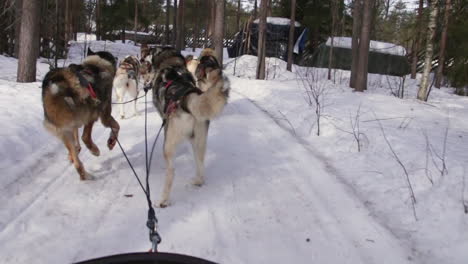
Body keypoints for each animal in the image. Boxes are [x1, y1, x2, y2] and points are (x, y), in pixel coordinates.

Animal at [41, 48, 119, 179]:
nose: (117, 58)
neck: (96, 65)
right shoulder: (105, 115)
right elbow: (116, 126)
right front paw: (111, 141)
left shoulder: (72, 125)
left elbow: (76, 138)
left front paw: (74, 153)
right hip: (90, 112)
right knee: (85, 137)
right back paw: (94, 150)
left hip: (64, 131)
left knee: (77, 162)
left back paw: (84, 174)